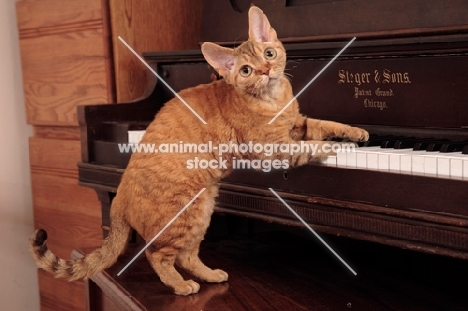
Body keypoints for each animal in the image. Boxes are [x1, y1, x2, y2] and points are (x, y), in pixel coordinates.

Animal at [29, 6, 368, 296]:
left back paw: (211, 275)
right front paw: (337, 146)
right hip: (187, 213)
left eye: (269, 53)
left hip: (203, 211)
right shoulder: (274, 149)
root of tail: (119, 197)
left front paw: (356, 133)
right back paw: (181, 286)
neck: (274, 98)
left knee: (186, 255)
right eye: (246, 71)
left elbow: (325, 123)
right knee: (158, 255)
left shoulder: (298, 123)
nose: (266, 70)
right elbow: (311, 145)